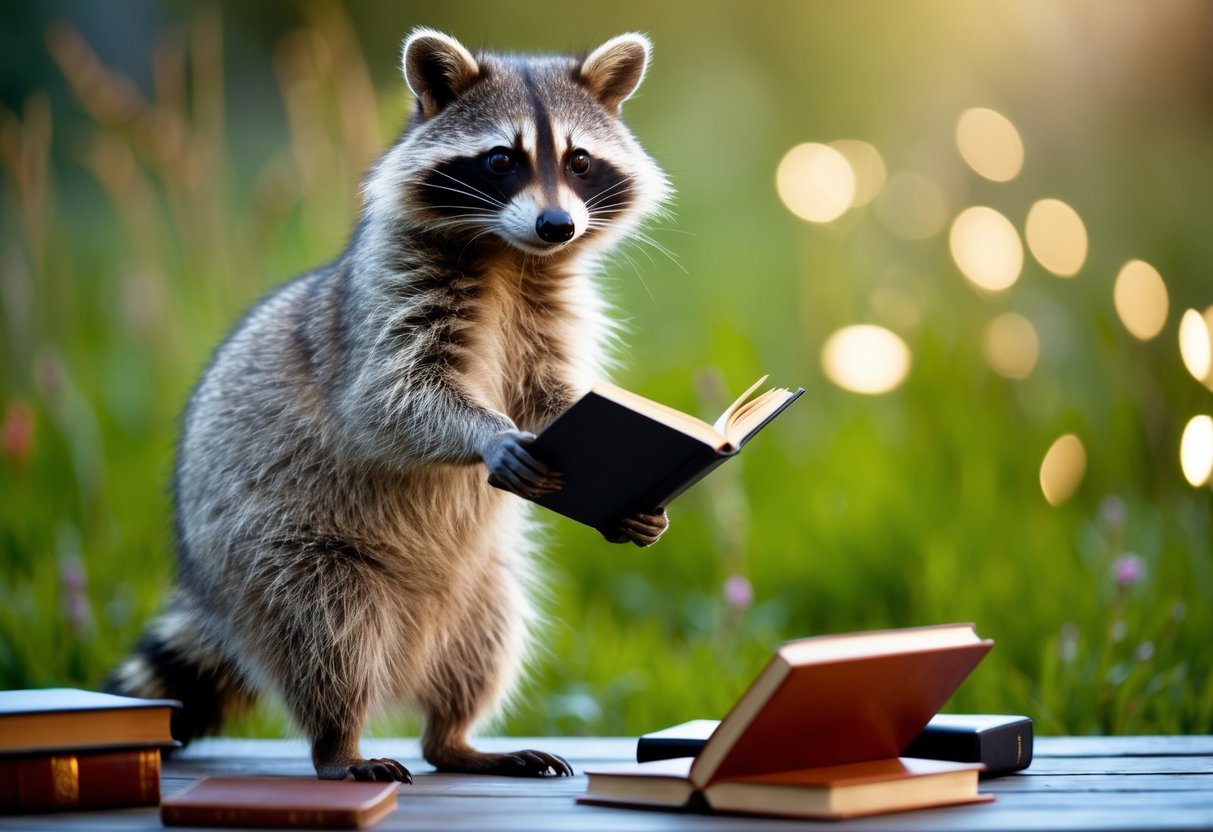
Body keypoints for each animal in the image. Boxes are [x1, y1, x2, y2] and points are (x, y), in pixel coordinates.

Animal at [106, 29, 671, 782]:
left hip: (479, 588)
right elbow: (389, 398)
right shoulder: (387, 296)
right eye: (501, 159)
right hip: (276, 559)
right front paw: (486, 434)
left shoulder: (552, 308)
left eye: (579, 161)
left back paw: (455, 739)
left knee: (485, 643)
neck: (509, 254)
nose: (557, 225)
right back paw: (337, 744)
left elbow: (553, 398)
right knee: (326, 638)